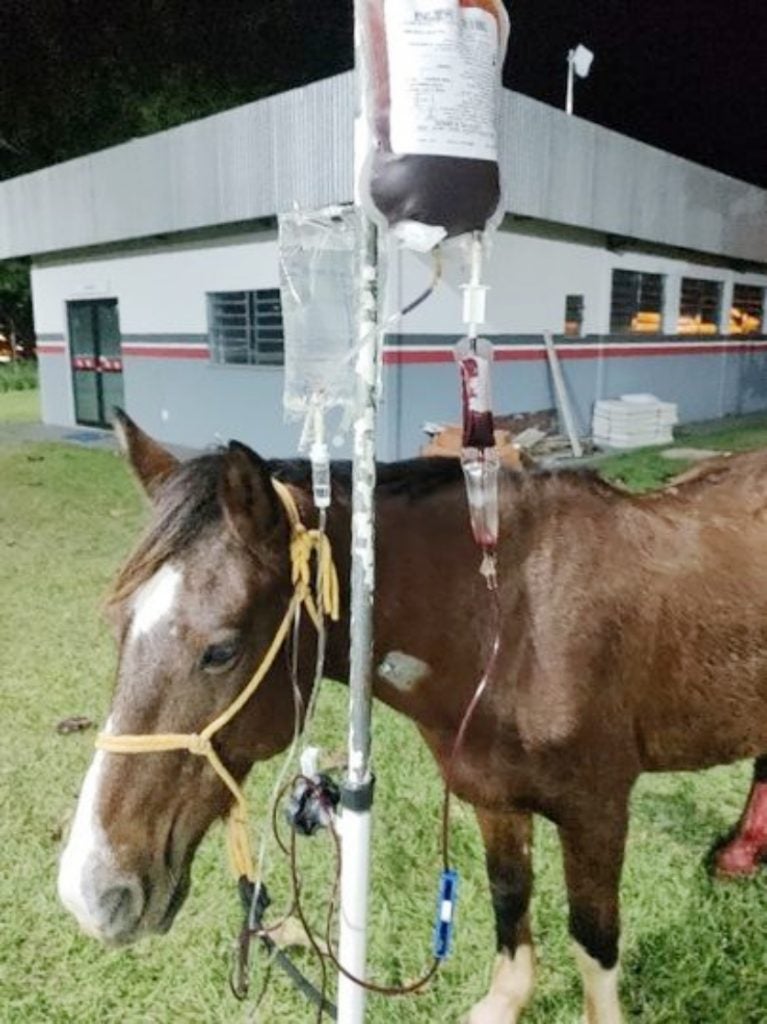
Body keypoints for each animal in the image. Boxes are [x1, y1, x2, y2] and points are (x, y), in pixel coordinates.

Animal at [57, 412, 767, 1024]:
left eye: (221, 650)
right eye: (118, 626)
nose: (93, 893)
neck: (512, 622)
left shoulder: (597, 811)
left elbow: (594, 941)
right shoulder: (492, 796)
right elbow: (509, 898)